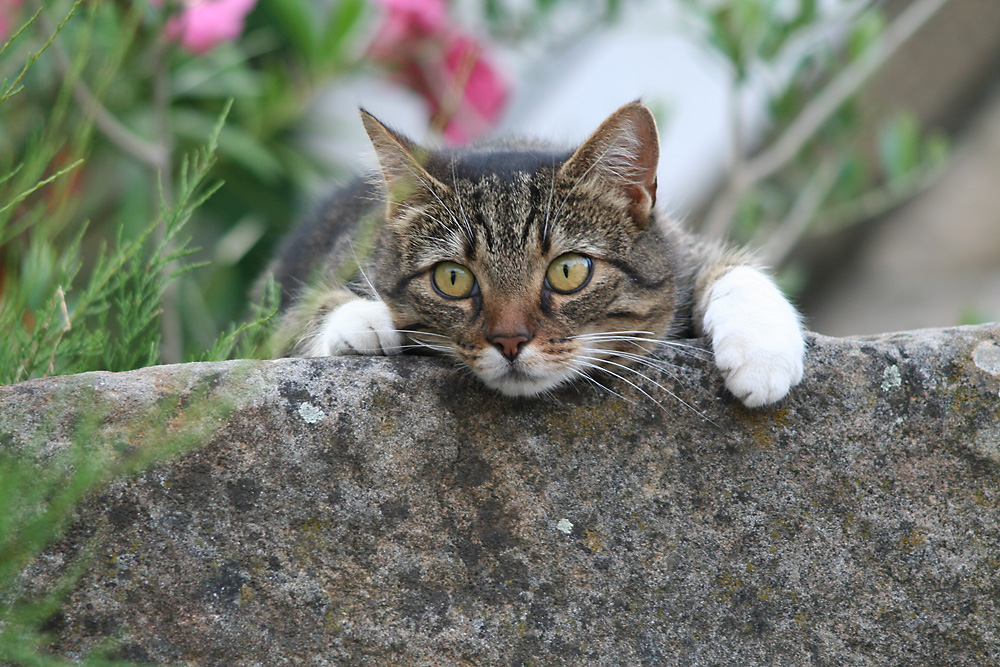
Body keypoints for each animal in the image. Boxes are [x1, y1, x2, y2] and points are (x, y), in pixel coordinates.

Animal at [266, 102, 804, 410]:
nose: (509, 341)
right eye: (453, 279)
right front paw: (365, 318)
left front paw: (763, 352)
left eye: (568, 272)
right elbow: (302, 316)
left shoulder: (684, 248)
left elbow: (731, 266)